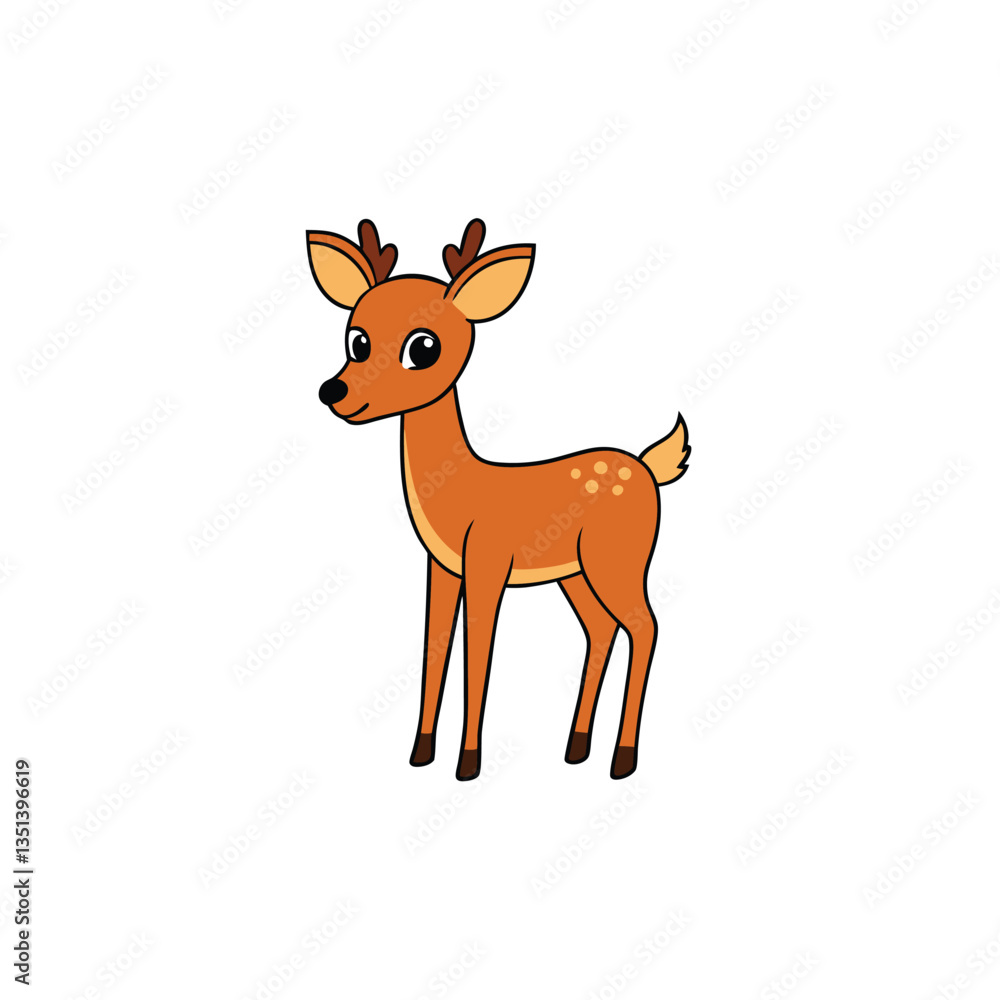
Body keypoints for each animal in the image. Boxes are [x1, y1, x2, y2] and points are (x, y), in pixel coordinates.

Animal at [308, 219, 689, 780]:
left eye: (423, 348)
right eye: (356, 339)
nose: (334, 392)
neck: (460, 489)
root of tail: (648, 468)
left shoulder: (488, 563)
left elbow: (478, 654)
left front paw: (468, 762)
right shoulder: (443, 567)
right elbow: (435, 647)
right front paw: (421, 752)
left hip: (619, 559)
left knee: (645, 627)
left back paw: (622, 758)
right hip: (576, 573)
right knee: (601, 628)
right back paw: (576, 746)